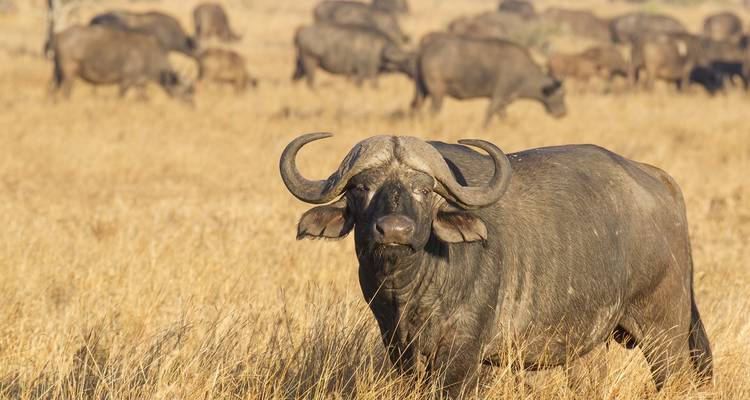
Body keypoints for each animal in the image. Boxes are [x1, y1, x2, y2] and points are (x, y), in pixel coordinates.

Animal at [50, 25, 193, 101]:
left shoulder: (140, 84)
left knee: (52, 89)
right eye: (185, 91)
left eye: (191, 91)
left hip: (58, 73)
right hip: (69, 74)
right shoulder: (125, 81)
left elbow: (144, 100)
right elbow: (121, 97)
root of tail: (58, 35)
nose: (192, 106)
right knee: (66, 91)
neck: (150, 56)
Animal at [280, 132, 713, 397]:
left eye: (425, 190)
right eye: (361, 187)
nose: (394, 230)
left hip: (666, 332)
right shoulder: (398, 348)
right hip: (588, 345)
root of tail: (661, 181)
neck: (410, 290)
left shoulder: (462, 354)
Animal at [412, 33, 565, 126]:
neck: (525, 74)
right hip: (437, 92)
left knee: (417, 106)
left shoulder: (504, 101)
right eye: (561, 94)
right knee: (433, 111)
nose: (563, 113)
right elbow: (489, 113)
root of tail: (426, 47)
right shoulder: (499, 96)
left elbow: (503, 116)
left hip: (422, 91)